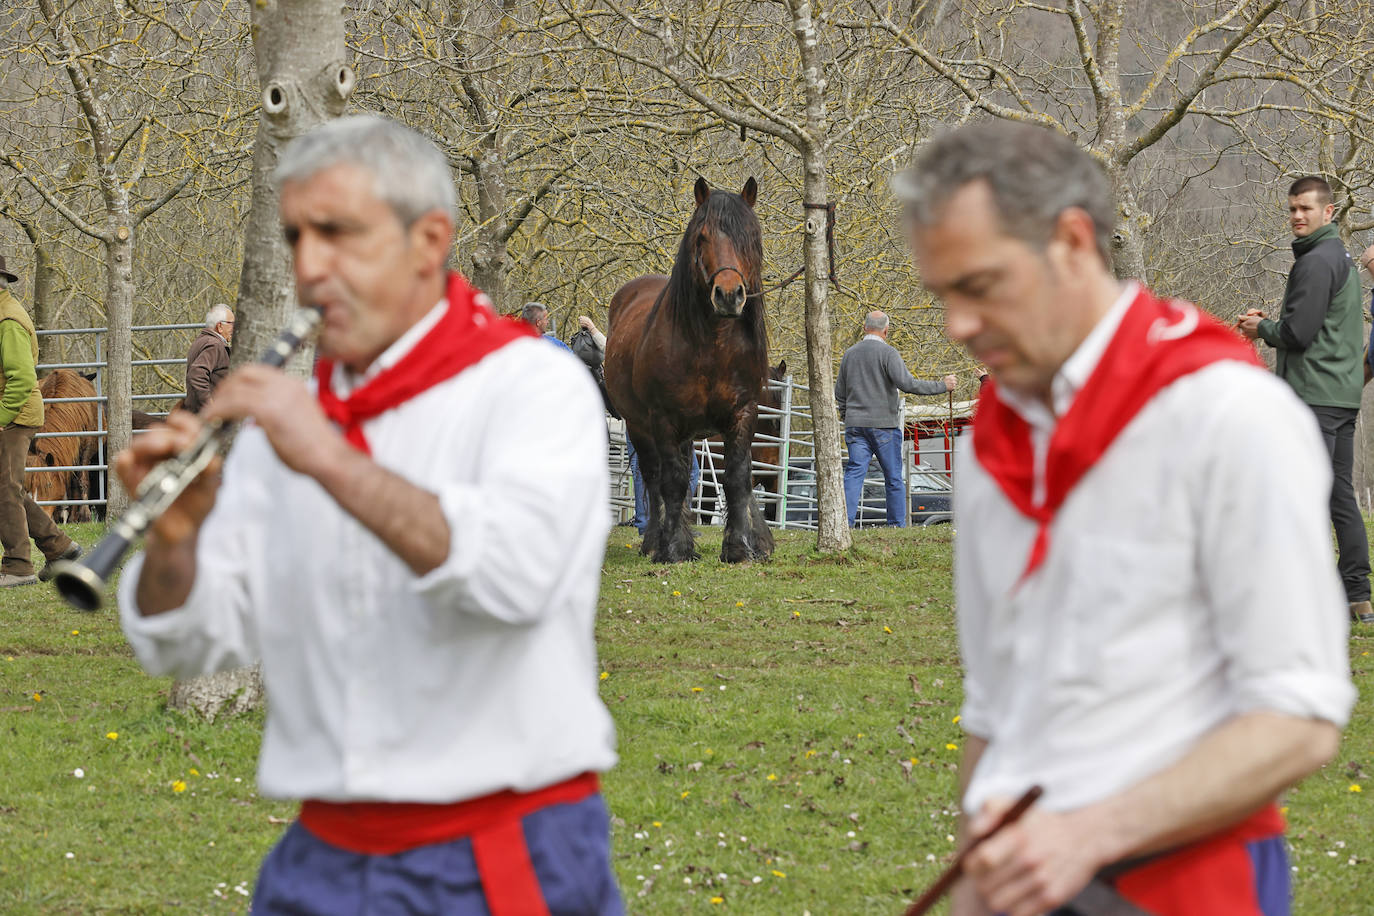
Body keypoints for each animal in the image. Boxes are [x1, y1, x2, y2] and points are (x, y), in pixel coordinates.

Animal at [607, 177, 780, 565]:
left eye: (751, 234)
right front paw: (673, 550)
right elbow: (670, 483)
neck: (712, 346)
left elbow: (737, 478)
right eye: (702, 237)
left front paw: (739, 548)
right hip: (641, 428)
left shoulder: (743, 414)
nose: (729, 295)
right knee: (655, 479)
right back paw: (655, 541)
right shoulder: (663, 419)